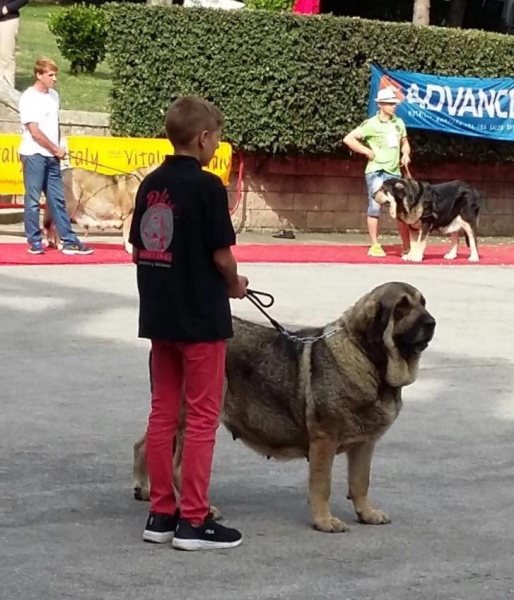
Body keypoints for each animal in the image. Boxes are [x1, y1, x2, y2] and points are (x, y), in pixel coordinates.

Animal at [133, 284, 436, 532]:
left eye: (423, 302)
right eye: (401, 307)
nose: (432, 322)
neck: (369, 359)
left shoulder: (365, 444)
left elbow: (360, 482)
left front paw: (367, 513)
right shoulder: (324, 440)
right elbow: (322, 485)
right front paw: (325, 521)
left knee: (146, 443)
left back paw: (145, 489)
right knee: (176, 466)